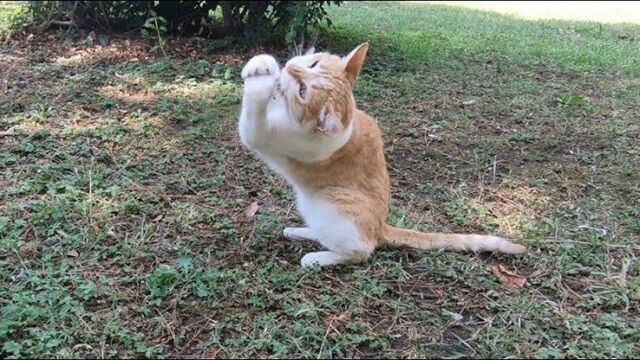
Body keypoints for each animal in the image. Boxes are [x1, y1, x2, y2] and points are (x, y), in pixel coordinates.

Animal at [236, 42, 524, 268]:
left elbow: (254, 109)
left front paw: (262, 78)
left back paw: (318, 258)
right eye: (313, 62)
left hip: (328, 203)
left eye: (303, 90)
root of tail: (381, 226)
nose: (290, 69)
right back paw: (299, 231)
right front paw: (263, 63)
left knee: (361, 251)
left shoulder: (259, 134)